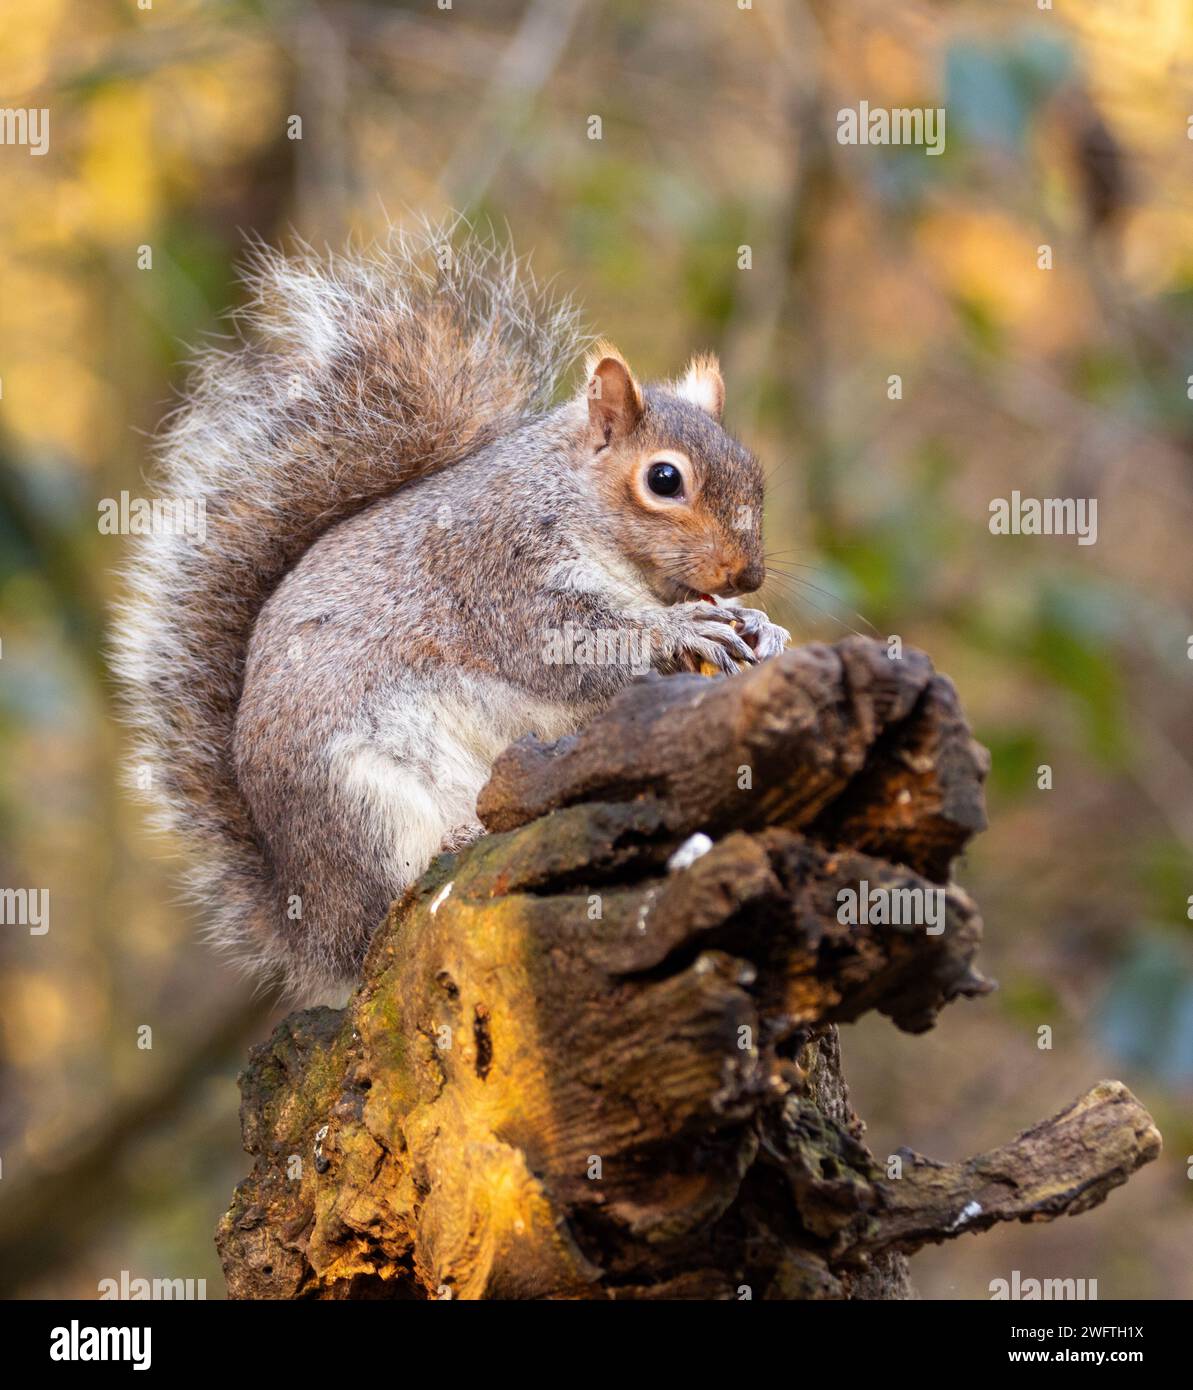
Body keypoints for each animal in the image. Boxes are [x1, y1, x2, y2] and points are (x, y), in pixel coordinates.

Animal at [114, 221, 789, 1003]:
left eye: (756, 476)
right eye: (664, 479)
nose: (747, 574)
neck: (571, 502)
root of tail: (312, 928)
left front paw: (761, 627)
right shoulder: (500, 571)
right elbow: (572, 646)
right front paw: (685, 628)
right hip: (361, 801)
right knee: (384, 908)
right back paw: (450, 846)